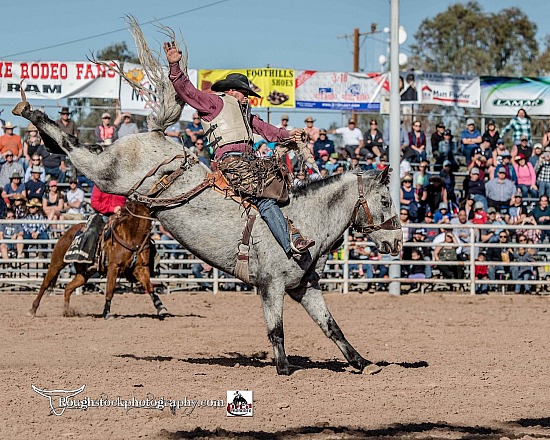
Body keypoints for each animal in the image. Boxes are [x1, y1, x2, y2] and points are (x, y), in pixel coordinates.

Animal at [29, 201, 168, 318]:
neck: (132, 237)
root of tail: (67, 233)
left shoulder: (141, 268)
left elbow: (150, 287)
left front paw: (161, 307)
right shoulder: (113, 267)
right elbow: (110, 291)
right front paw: (106, 313)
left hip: (84, 274)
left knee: (68, 288)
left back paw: (67, 312)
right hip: (56, 263)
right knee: (45, 284)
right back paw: (33, 310)